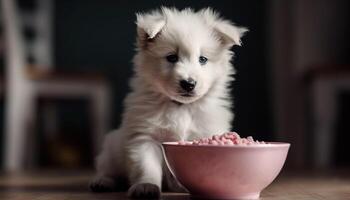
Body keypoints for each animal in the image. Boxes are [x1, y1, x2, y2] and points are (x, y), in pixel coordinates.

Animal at [90, 7, 249, 199]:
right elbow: (147, 166)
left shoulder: (204, 133)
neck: (181, 106)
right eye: (171, 57)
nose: (188, 83)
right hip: (111, 149)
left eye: (203, 59)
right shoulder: (145, 138)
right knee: (107, 169)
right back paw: (102, 182)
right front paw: (146, 186)